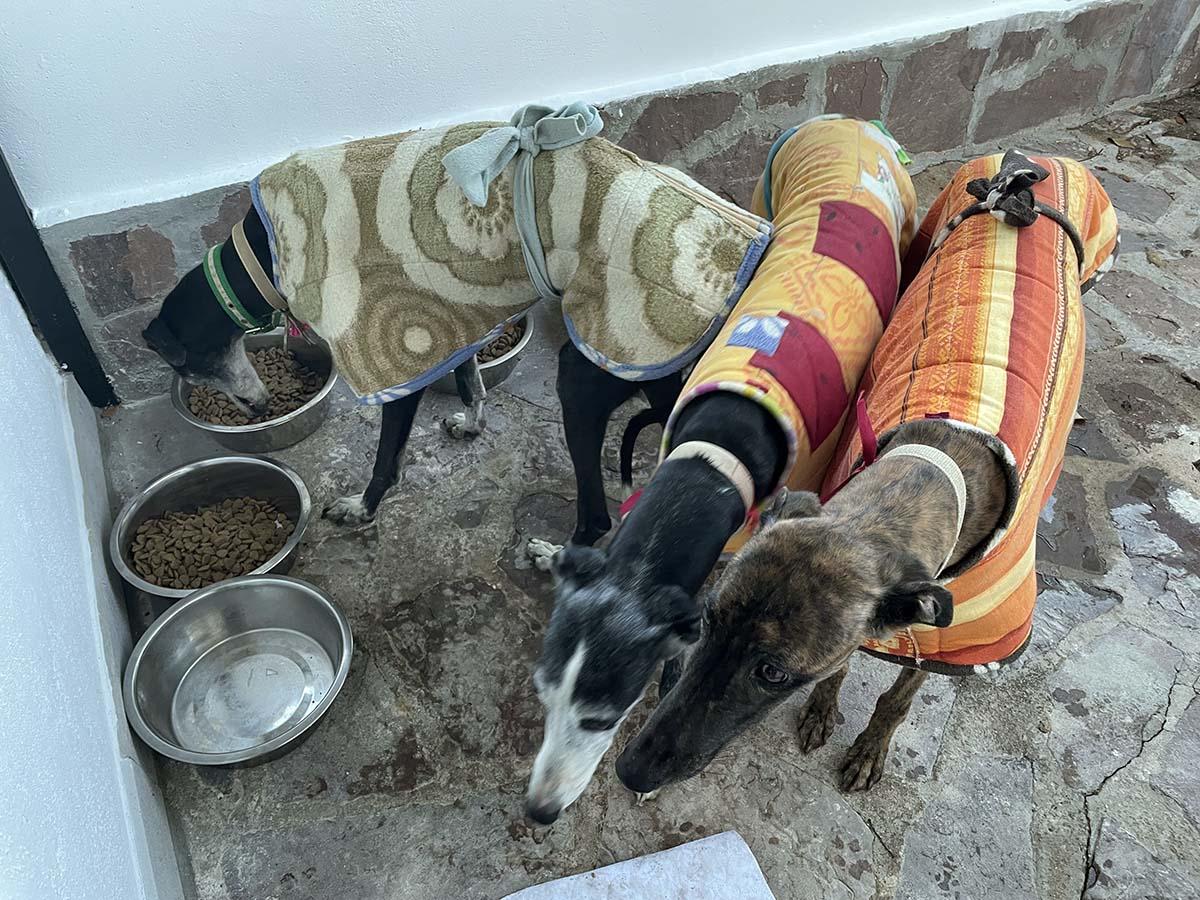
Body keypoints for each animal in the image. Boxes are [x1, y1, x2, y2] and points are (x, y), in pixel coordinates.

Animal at [616, 150, 1120, 794]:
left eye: (772, 672)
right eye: (708, 618)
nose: (630, 770)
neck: (929, 471)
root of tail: (1033, 165)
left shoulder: (952, 639)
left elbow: (897, 699)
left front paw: (868, 750)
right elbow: (841, 664)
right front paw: (823, 709)